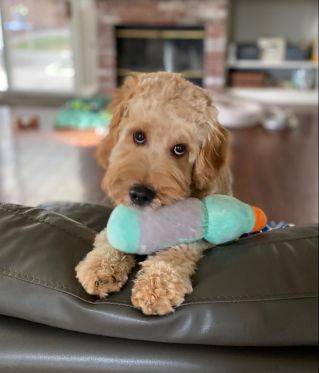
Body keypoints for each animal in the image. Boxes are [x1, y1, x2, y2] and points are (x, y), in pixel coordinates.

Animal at [75, 70, 232, 314]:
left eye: (180, 149)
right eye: (139, 136)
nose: (141, 194)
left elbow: (176, 251)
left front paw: (156, 287)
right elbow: (110, 238)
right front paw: (102, 266)